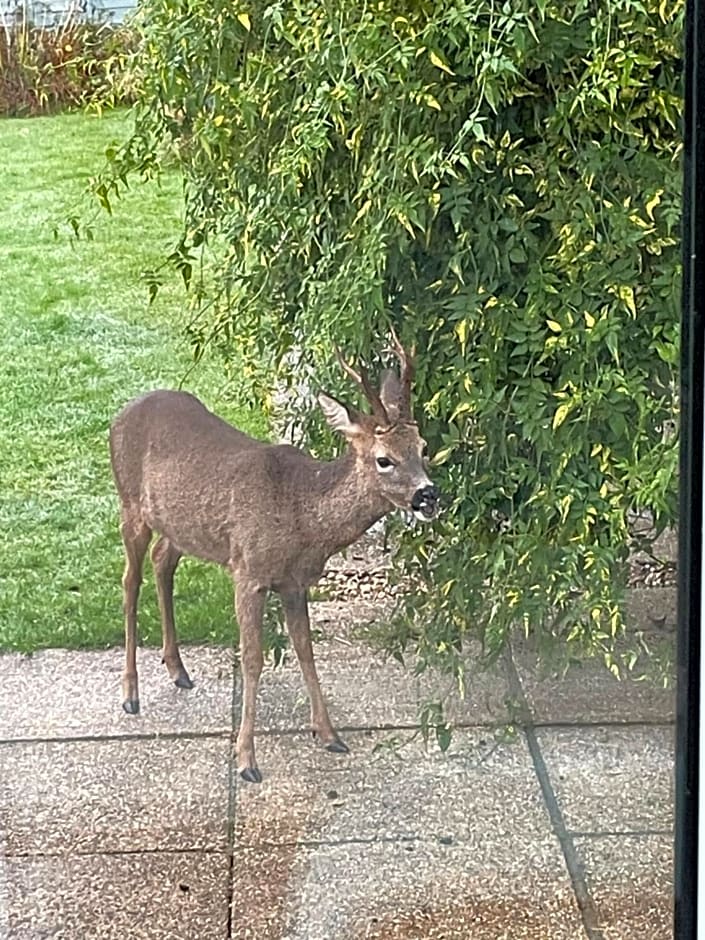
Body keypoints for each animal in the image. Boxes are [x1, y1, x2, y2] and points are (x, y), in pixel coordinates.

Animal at [108, 334, 434, 784]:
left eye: (423, 447)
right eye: (384, 459)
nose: (429, 496)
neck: (302, 517)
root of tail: (122, 412)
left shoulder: (295, 583)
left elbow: (306, 650)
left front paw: (329, 734)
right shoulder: (248, 571)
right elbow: (253, 659)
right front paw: (246, 759)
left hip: (180, 525)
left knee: (162, 560)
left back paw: (178, 670)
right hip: (129, 504)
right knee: (129, 581)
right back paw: (130, 694)